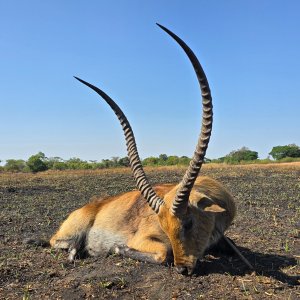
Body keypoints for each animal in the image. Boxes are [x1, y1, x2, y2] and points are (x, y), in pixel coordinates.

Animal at [44, 24, 237, 276]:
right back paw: (76, 250)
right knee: (57, 242)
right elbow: (163, 254)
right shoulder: (146, 240)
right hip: (70, 233)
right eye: (164, 226)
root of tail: (93, 205)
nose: (182, 269)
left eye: (189, 222)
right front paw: (118, 249)